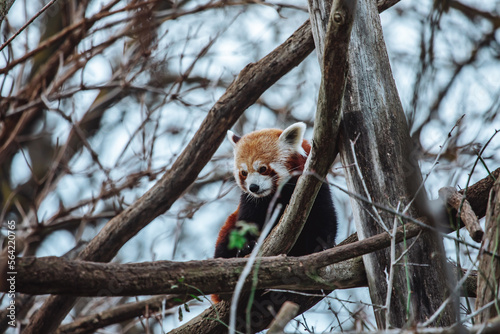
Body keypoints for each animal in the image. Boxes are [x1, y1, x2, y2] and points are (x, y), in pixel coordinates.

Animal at [213, 122, 338, 332]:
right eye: (244, 172)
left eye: (263, 168)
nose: (253, 187)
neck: (275, 195)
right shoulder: (250, 204)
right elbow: (247, 224)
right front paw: (247, 246)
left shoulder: (315, 187)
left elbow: (325, 218)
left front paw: (321, 248)